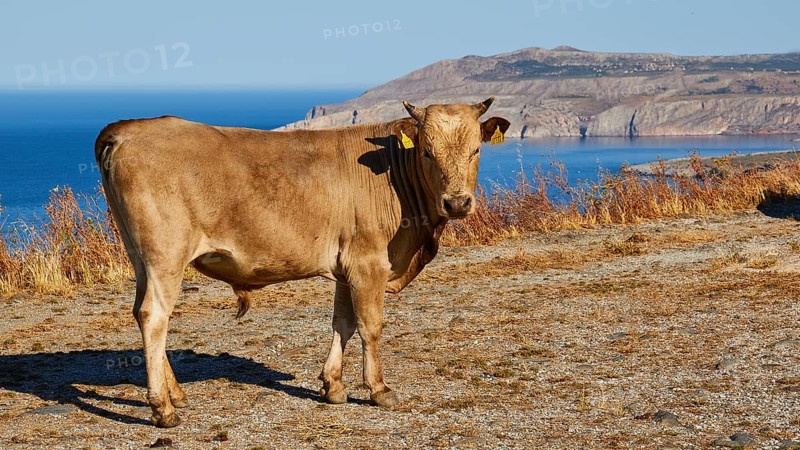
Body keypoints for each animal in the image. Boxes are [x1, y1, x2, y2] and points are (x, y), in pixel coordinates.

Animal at [95, 97, 510, 427]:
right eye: (427, 151)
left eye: (476, 149)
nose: (457, 202)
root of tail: (129, 128)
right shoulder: (369, 264)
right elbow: (370, 327)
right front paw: (378, 389)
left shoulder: (347, 267)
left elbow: (342, 324)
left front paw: (333, 386)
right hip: (165, 255)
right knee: (155, 317)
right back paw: (163, 408)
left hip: (140, 257)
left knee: (141, 312)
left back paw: (176, 393)